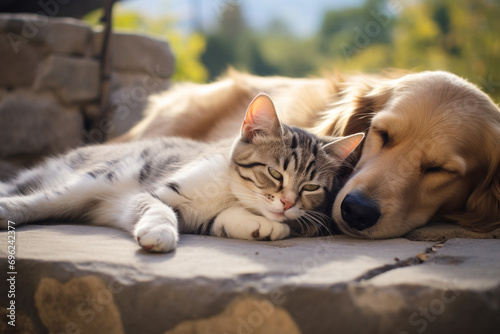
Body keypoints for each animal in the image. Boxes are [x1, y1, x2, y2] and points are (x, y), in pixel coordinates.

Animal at [0, 92, 362, 252]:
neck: (227, 192)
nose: (287, 203)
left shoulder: (201, 220)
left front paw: (261, 226)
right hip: (94, 178)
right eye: (275, 174)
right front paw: (159, 231)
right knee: (35, 199)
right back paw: (8, 208)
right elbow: (159, 208)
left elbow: (221, 220)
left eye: (311, 188)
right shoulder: (152, 192)